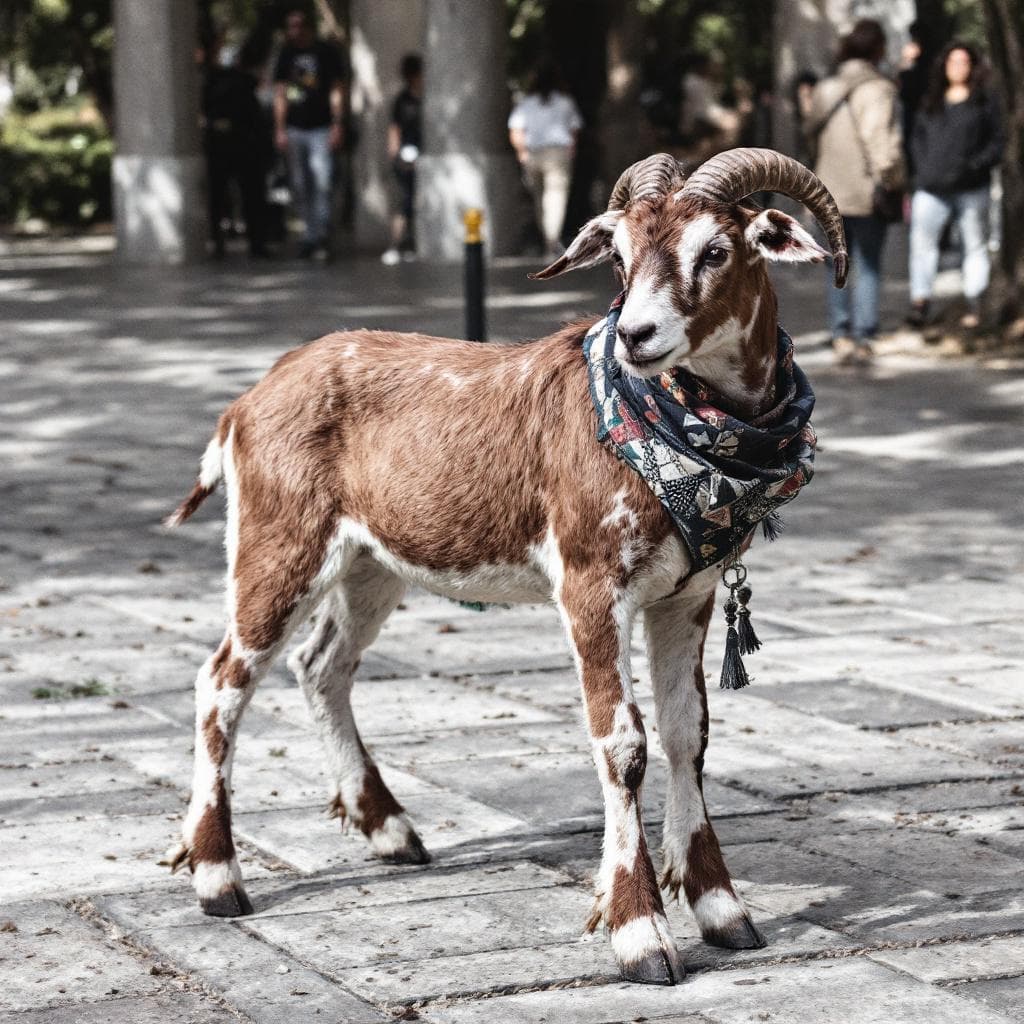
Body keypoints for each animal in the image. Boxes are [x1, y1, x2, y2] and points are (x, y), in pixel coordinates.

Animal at [165, 148, 847, 985]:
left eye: (716, 250)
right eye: (618, 256)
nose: (636, 334)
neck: (680, 442)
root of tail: (246, 402)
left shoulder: (685, 595)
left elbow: (689, 735)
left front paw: (722, 910)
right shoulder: (591, 584)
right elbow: (623, 744)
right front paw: (640, 933)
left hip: (371, 562)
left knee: (321, 664)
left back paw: (392, 831)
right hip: (278, 540)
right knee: (222, 682)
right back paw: (218, 878)